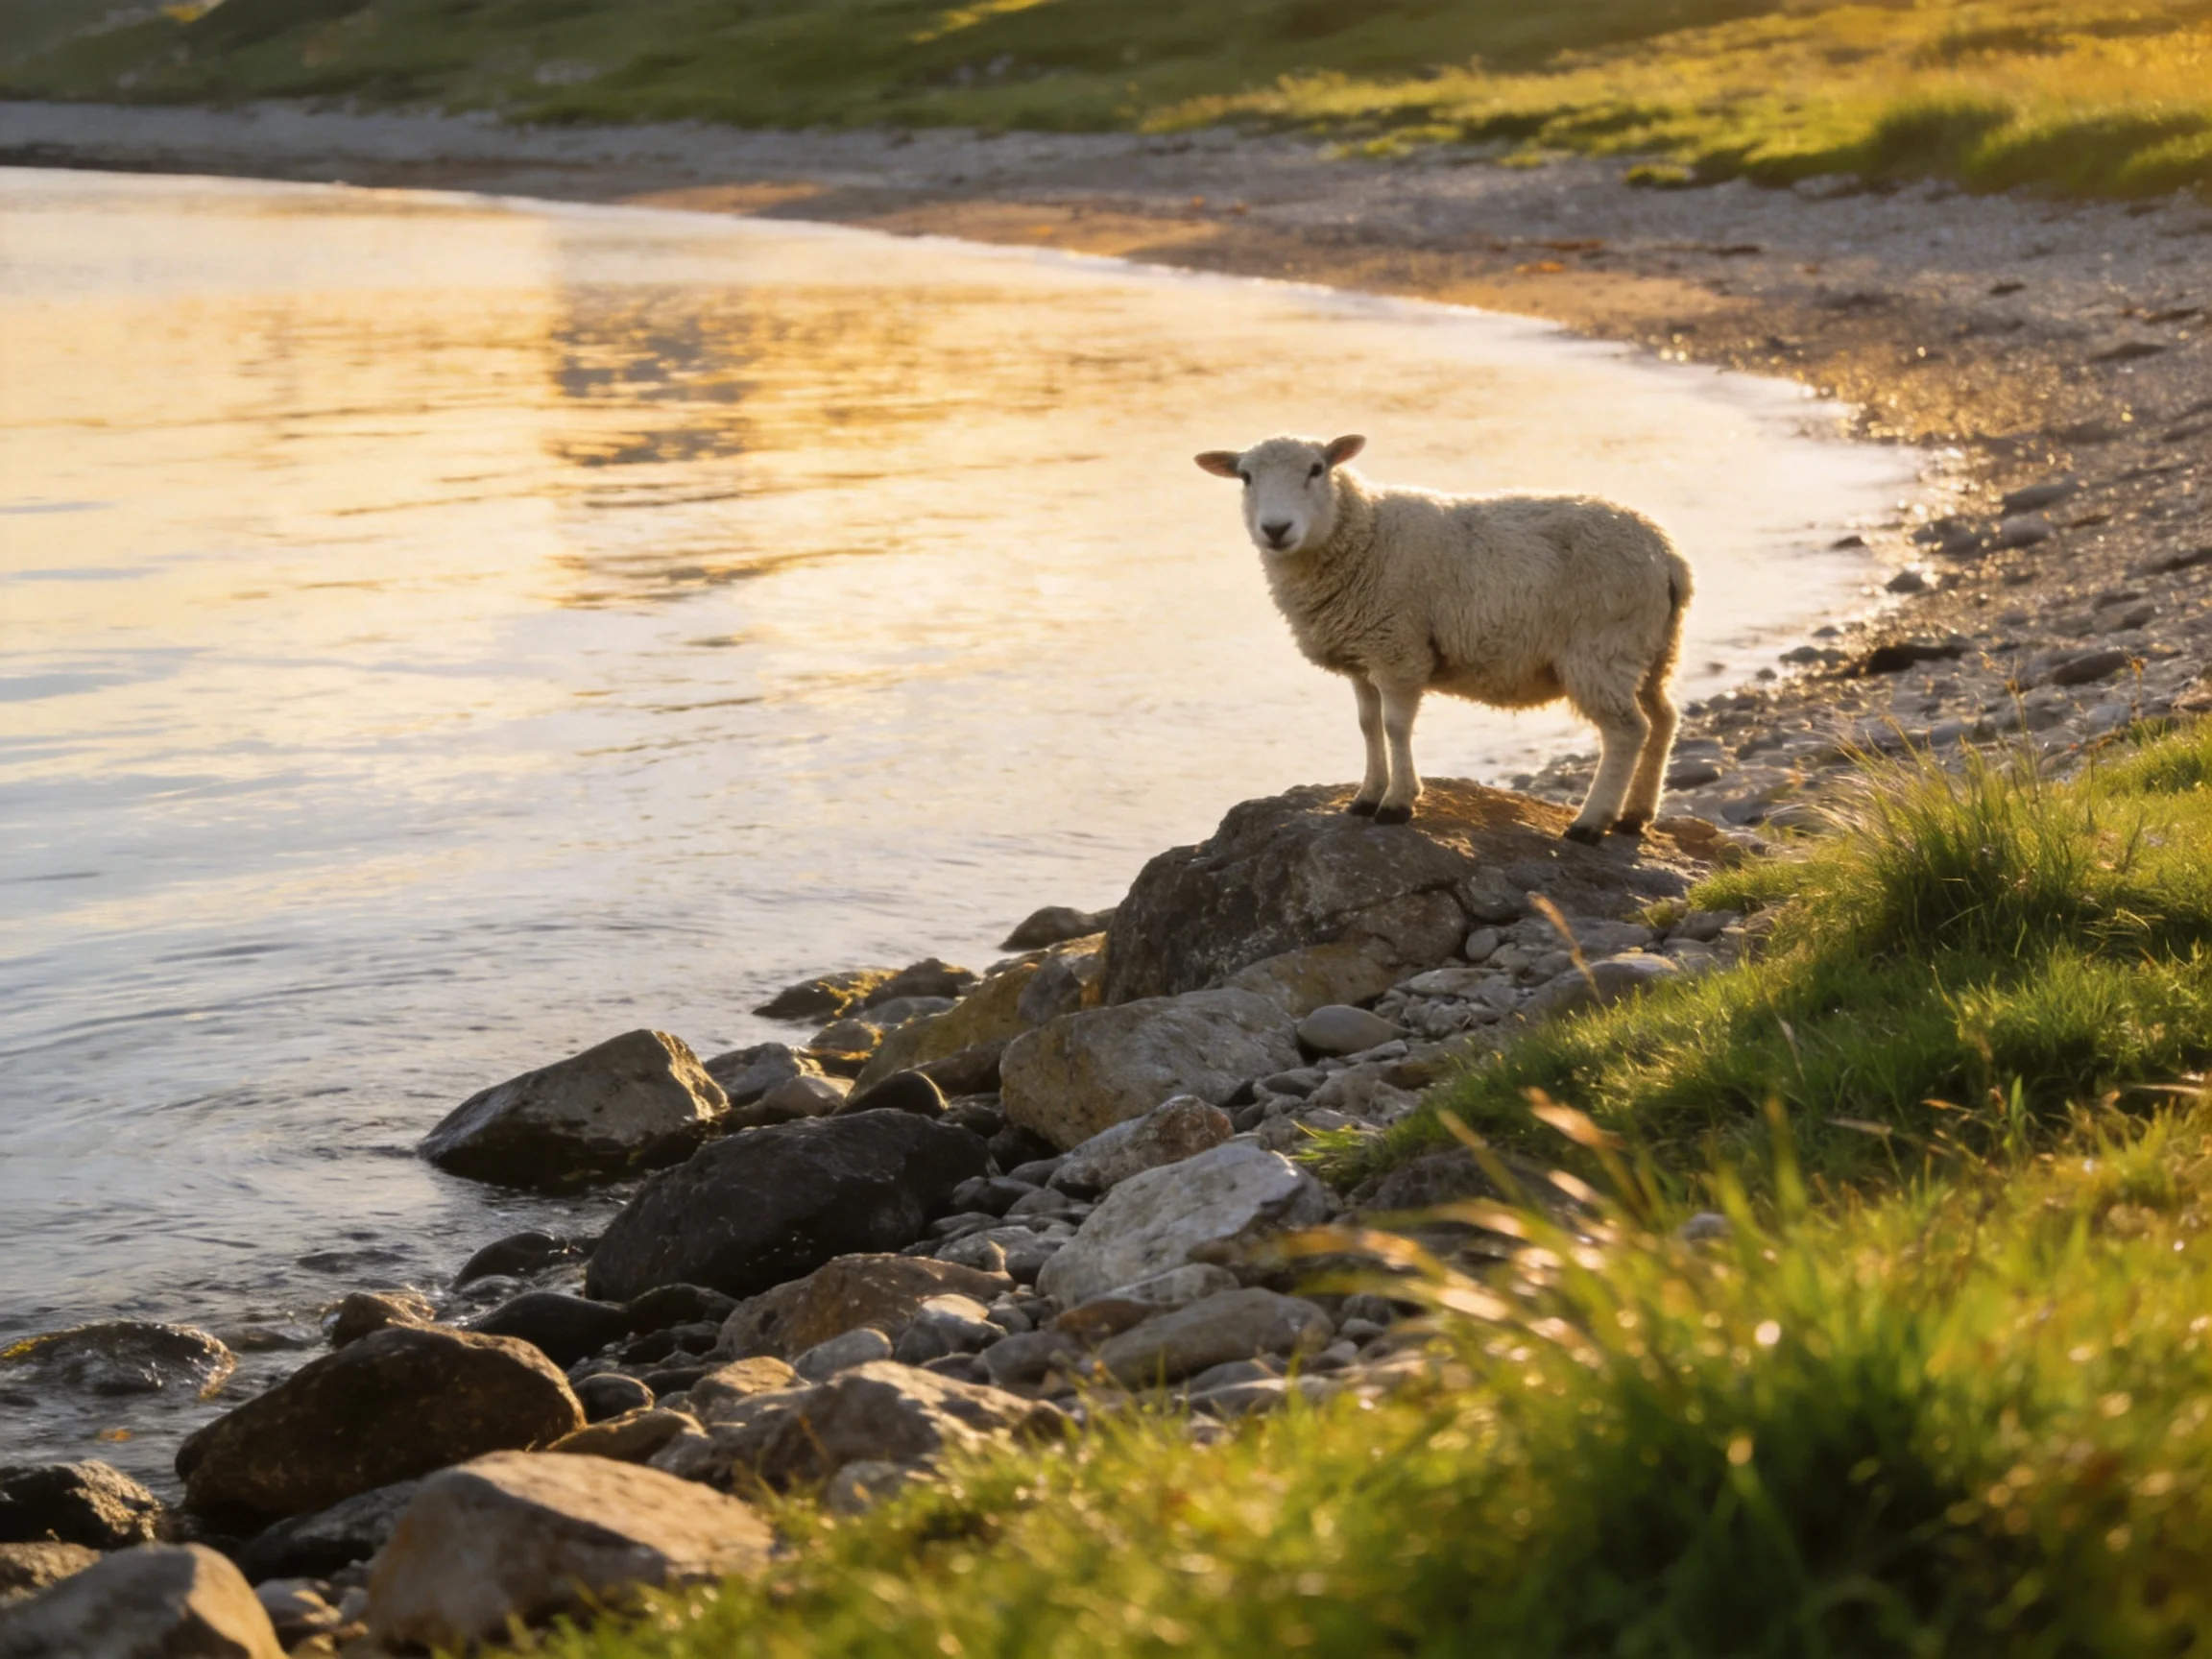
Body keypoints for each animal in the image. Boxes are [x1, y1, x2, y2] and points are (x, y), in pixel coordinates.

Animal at [1195, 433, 1693, 843]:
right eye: (1245, 477)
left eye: (1317, 469)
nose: (1276, 529)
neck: (1367, 534)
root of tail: (1667, 555)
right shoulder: (1364, 655)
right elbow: (1368, 725)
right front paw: (1367, 796)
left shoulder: (1399, 647)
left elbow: (1396, 727)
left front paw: (1397, 803)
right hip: (1652, 650)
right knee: (1664, 719)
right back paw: (1635, 816)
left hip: (1602, 647)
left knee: (1628, 731)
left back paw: (1590, 824)